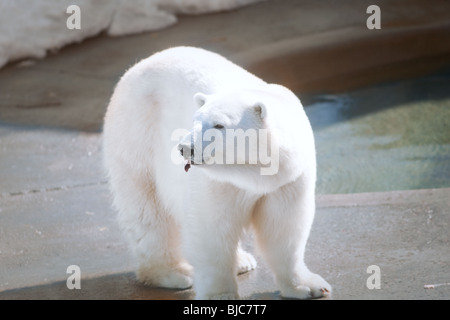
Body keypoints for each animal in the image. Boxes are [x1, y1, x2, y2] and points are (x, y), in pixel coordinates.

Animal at [103, 46, 332, 298]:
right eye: (195, 120)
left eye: (219, 125)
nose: (185, 148)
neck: (251, 171)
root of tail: (137, 65)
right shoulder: (218, 182)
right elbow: (211, 230)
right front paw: (221, 294)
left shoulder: (286, 180)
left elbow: (284, 229)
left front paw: (308, 286)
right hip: (137, 134)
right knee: (147, 210)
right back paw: (173, 273)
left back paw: (242, 261)